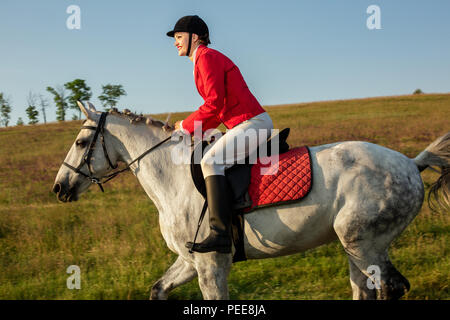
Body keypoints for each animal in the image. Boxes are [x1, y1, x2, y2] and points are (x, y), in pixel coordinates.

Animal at [53, 102, 450, 300]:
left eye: (80, 142)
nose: (59, 188)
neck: (173, 179)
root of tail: (411, 163)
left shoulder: (212, 264)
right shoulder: (189, 261)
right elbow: (158, 290)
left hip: (365, 244)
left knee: (390, 289)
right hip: (355, 248)